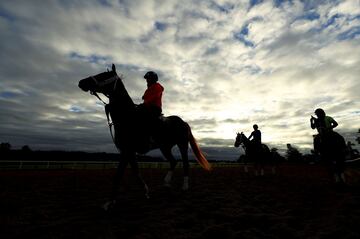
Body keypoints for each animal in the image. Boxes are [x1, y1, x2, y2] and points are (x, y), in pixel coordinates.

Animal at [77, 64, 210, 208]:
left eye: (103, 75)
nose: (81, 82)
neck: (127, 117)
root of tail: (184, 122)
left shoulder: (127, 151)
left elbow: (118, 175)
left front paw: (109, 202)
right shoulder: (128, 152)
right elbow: (136, 172)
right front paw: (146, 192)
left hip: (182, 145)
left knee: (185, 163)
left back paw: (184, 187)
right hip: (165, 147)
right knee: (173, 162)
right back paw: (166, 183)